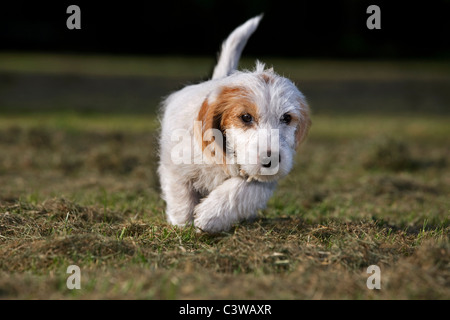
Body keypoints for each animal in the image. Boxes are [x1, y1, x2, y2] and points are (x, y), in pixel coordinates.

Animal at [157, 15, 310, 232]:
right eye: (246, 117)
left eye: (286, 118)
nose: (271, 160)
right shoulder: (175, 164)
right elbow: (180, 193)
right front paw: (183, 222)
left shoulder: (261, 180)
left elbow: (240, 190)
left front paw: (209, 215)